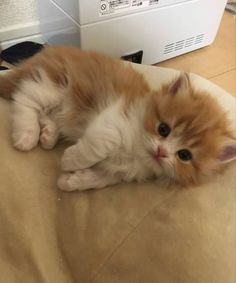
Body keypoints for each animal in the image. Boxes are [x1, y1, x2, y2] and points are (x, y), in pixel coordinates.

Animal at [0, 46, 235, 192]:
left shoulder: (121, 173)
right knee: (26, 97)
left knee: (44, 111)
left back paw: (49, 135)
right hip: (54, 85)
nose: (161, 152)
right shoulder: (111, 122)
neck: (137, 153)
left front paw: (71, 180)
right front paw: (68, 160)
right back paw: (26, 135)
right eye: (163, 129)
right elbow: (94, 149)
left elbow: (100, 178)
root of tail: (44, 52)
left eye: (184, 155)